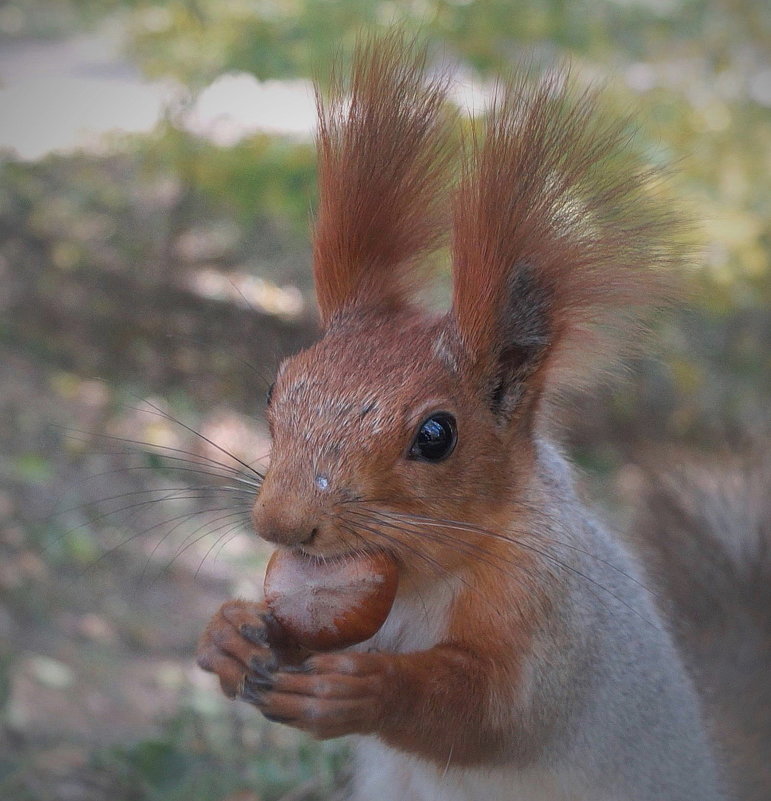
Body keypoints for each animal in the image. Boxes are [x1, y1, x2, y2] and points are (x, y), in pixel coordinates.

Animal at [195, 32, 771, 800]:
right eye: (275, 388)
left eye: (436, 435)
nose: (281, 523)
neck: (420, 578)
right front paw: (229, 632)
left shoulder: (550, 613)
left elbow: (492, 711)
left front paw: (363, 690)